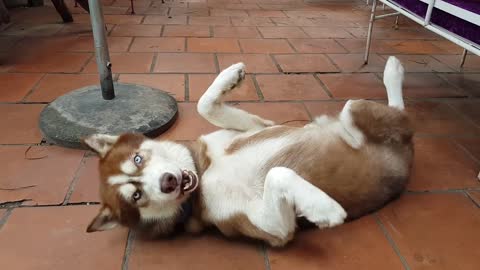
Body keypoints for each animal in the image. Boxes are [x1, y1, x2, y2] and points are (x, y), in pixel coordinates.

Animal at [82, 56, 412, 247]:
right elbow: (279, 174)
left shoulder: (256, 126)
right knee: (401, 117)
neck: (203, 173)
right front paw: (322, 207)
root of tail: (406, 160)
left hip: (353, 113)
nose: (168, 182)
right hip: (361, 113)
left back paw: (393, 70)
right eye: (136, 196)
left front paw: (229, 77)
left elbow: (205, 105)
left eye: (138, 159)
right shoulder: (273, 229)